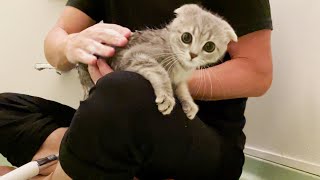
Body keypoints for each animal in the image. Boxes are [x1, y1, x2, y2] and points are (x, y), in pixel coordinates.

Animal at [77, 3, 238, 119]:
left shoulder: (179, 79)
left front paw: (189, 103)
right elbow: (159, 72)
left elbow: (182, 87)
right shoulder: (133, 55)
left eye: (209, 46)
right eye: (186, 37)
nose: (193, 54)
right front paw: (167, 97)